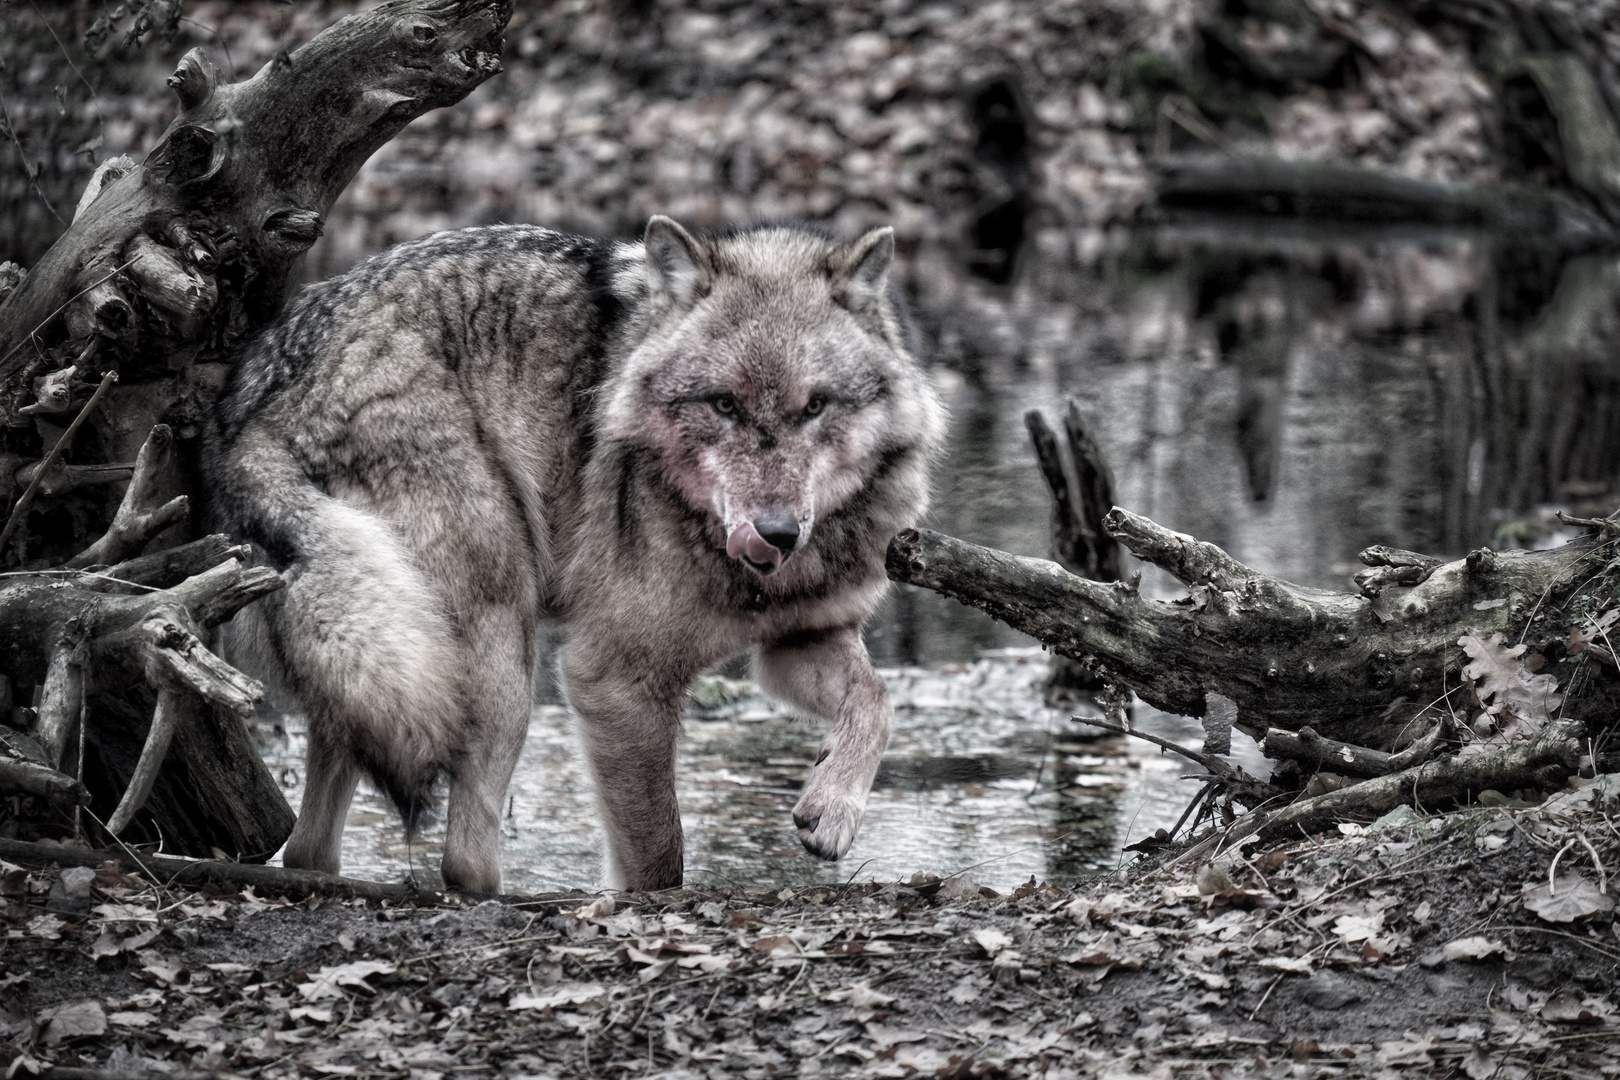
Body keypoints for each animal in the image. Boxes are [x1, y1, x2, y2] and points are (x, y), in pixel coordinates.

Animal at [212, 215, 946, 893]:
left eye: (816, 406)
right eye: (723, 405)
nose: (776, 533)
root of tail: (258, 413)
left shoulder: (799, 641)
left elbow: (878, 701)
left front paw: (832, 808)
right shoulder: (614, 678)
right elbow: (658, 857)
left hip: (384, 653)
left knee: (309, 849)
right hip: (499, 649)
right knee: (463, 859)